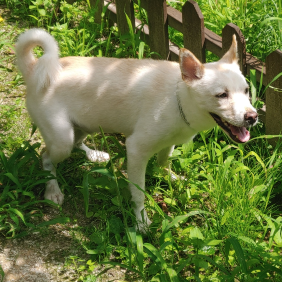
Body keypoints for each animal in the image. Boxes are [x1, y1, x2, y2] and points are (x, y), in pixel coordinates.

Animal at [16, 28, 258, 231]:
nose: (252, 117)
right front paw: (141, 221)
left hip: (85, 124)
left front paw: (170, 177)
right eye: (221, 95)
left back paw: (94, 155)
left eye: (246, 91)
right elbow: (139, 193)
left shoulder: (168, 142)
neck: (178, 96)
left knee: (77, 142)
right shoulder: (136, 150)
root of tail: (34, 69)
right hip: (61, 139)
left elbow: (163, 162)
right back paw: (52, 189)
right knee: (46, 156)